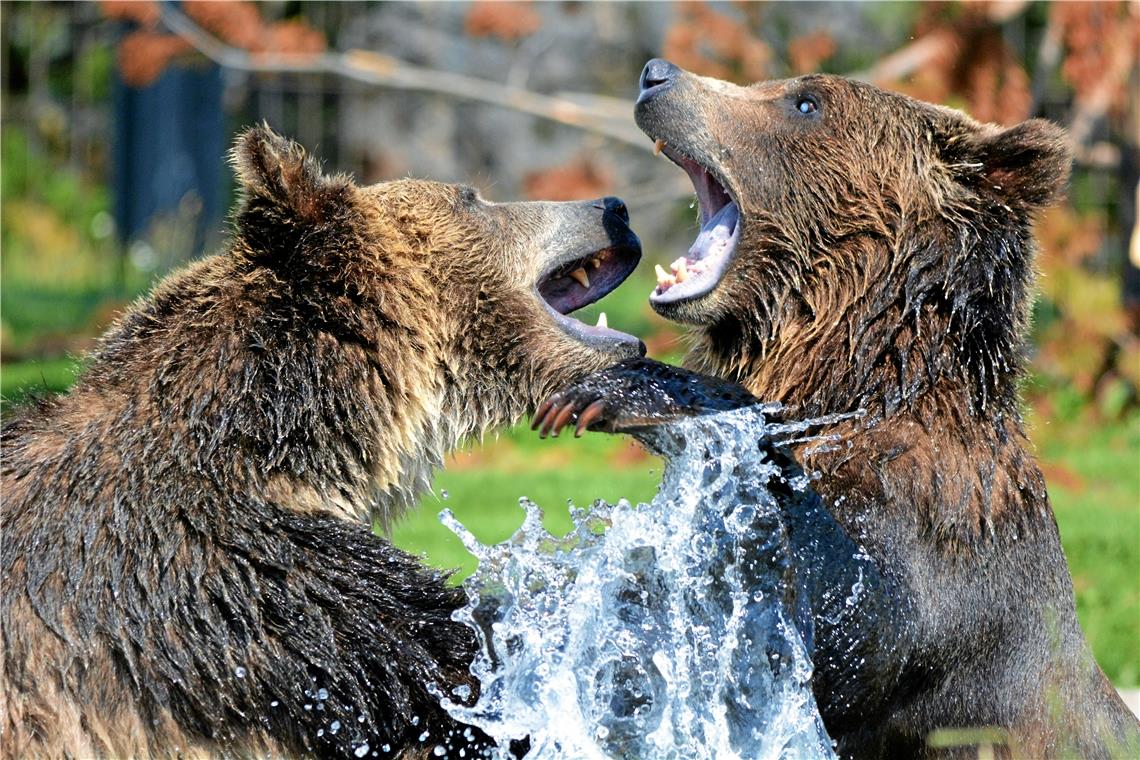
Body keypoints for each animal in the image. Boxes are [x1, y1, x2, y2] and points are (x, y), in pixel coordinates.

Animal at [533, 60, 1140, 760]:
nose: (658, 76)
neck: (854, 381)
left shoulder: (933, 540)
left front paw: (614, 393)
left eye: (805, 103)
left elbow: (845, 614)